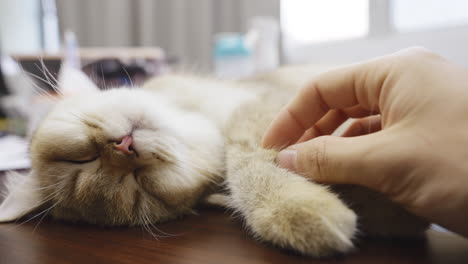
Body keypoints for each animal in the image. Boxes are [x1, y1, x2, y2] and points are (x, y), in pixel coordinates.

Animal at [0, 64, 428, 256]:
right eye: (140, 188)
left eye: (79, 158)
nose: (123, 148)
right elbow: (246, 161)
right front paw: (297, 208)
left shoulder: (269, 104)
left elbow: (250, 148)